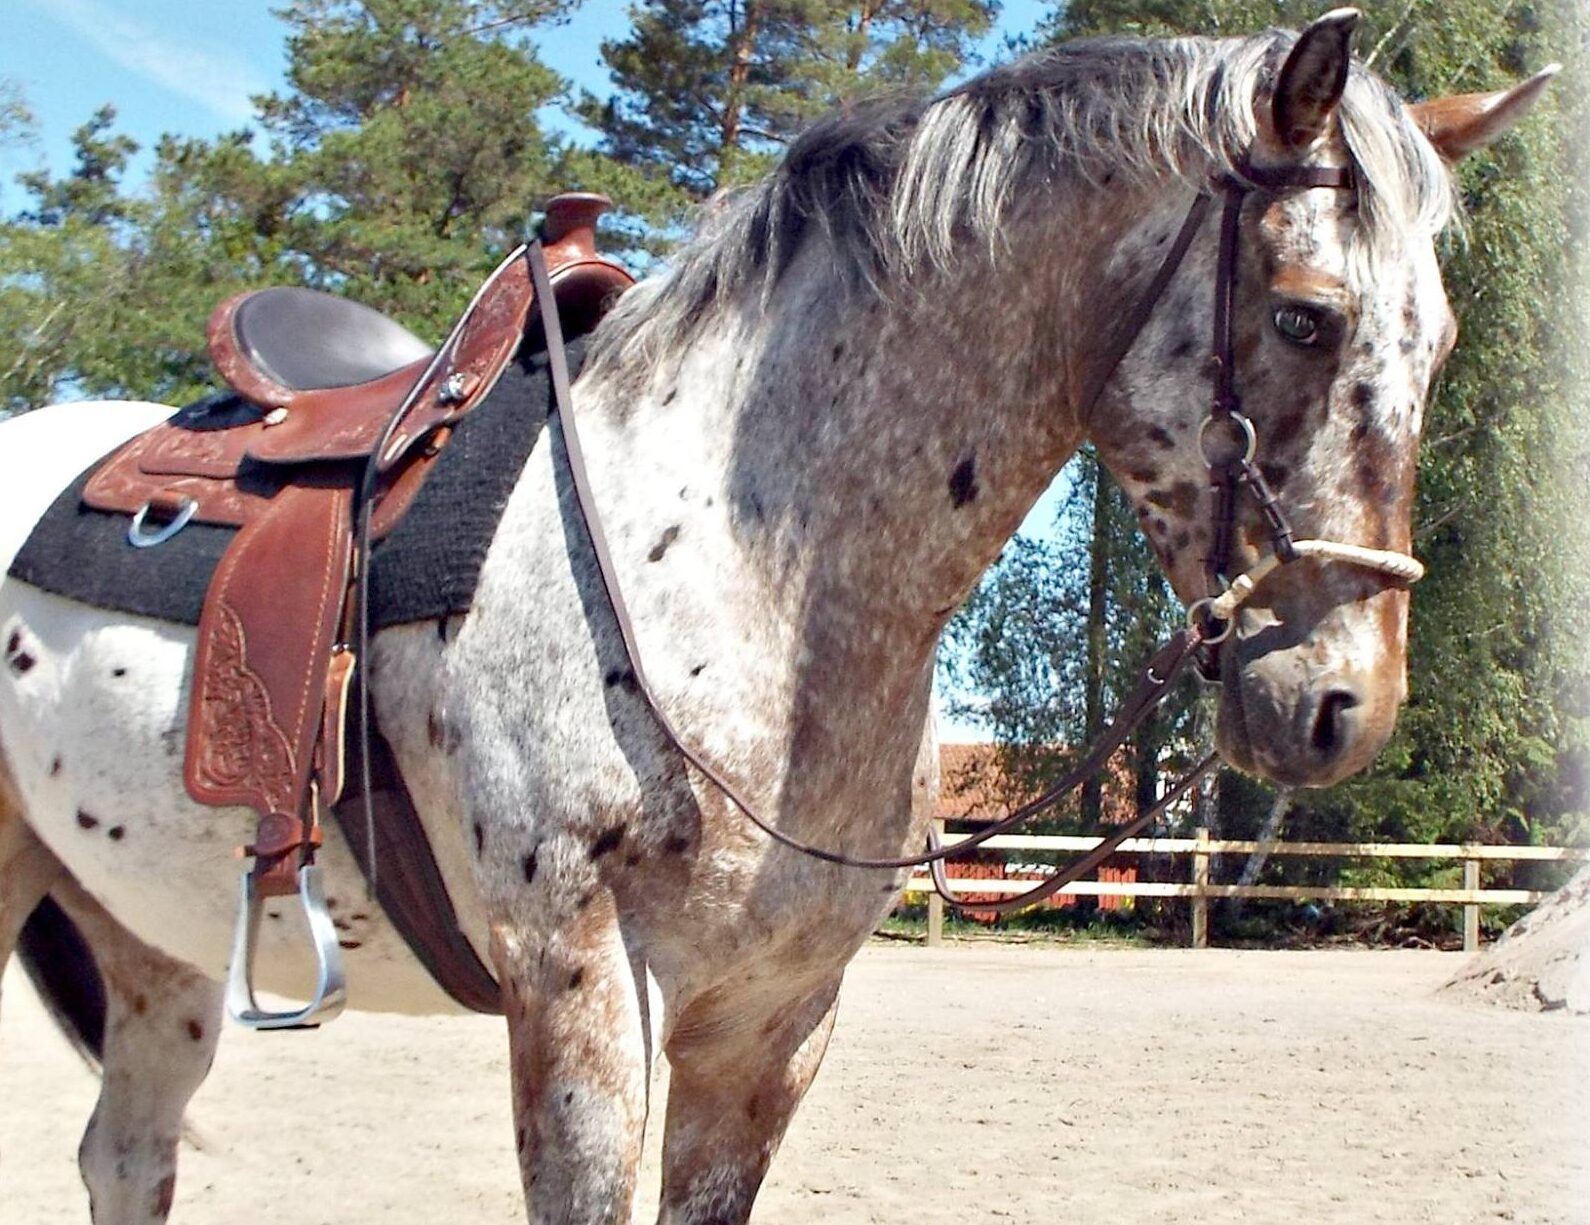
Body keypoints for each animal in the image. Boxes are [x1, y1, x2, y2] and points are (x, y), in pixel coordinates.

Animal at [0, 11, 1554, 1223]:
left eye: (1443, 343)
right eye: (1302, 315)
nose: (1343, 705)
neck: (755, 576)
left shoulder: (772, 1020)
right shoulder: (574, 992)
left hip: (151, 943)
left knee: (123, 1156)